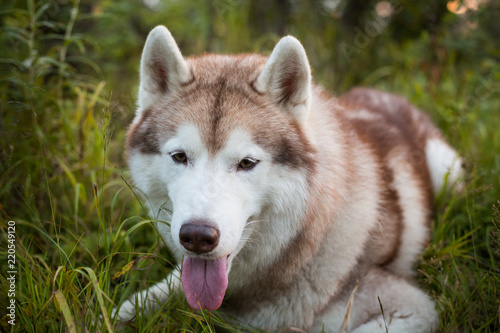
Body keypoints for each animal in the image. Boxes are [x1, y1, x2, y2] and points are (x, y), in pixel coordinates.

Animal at [115, 26, 462, 332]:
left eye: (247, 163)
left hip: (449, 172)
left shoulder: (416, 308)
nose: (198, 236)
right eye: (179, 156)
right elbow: (134, 304)